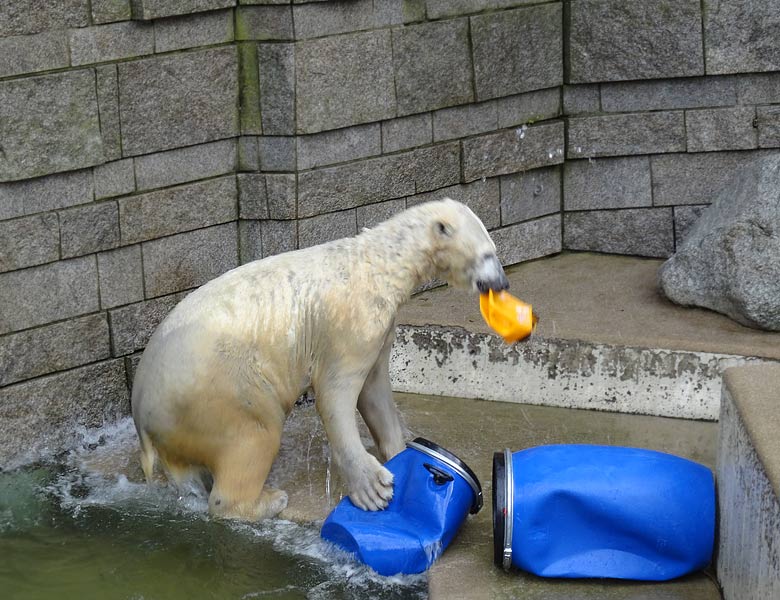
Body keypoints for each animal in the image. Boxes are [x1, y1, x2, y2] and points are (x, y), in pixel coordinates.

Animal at [131, 198, 508, 520]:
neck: (380, 263)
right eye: (487, 253)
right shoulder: (348, 323)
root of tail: (141, 411)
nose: (501, 283)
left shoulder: (380, 329)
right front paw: (373, 487)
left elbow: (375, 390)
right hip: (220, 391)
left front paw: (399, 449)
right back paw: (269, 499)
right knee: (255, 433)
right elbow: (336, 392)